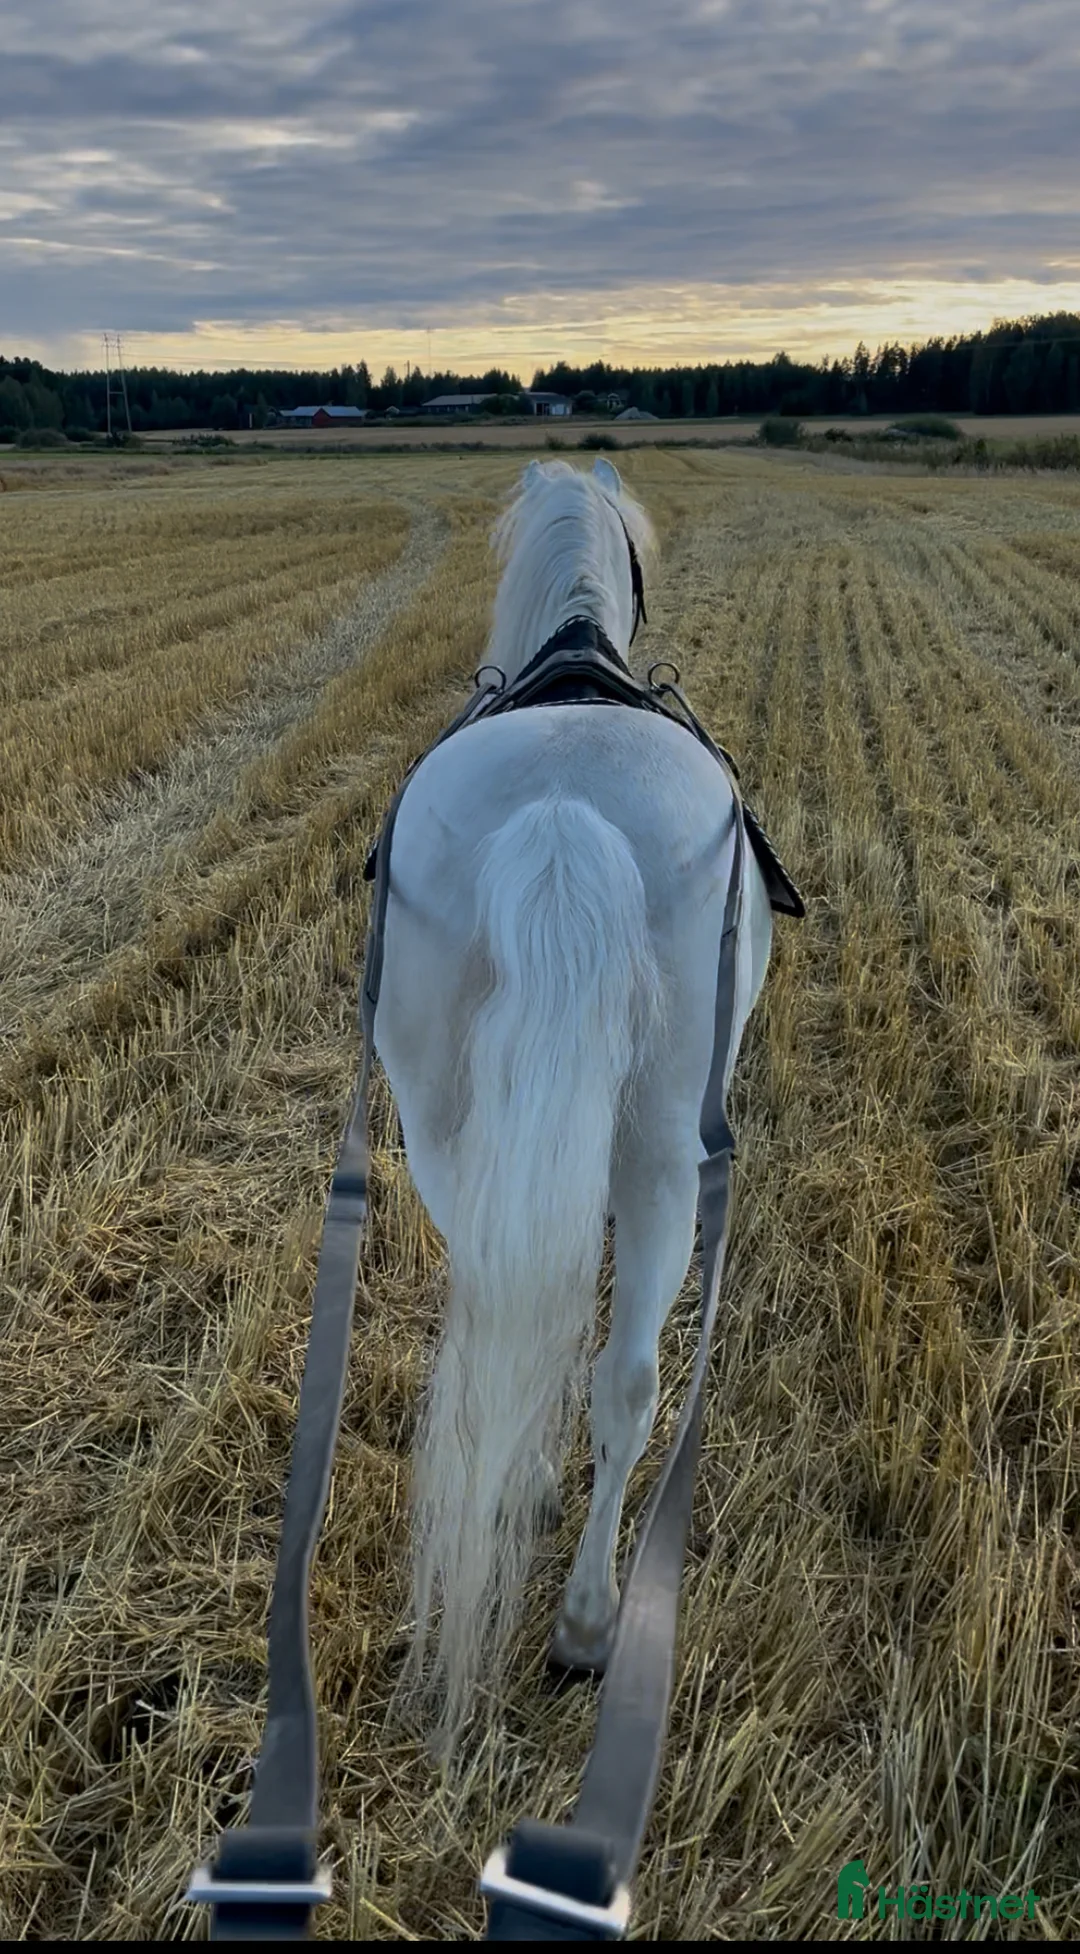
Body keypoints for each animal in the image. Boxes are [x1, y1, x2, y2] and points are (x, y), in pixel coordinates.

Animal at [374, 456, 774, 1750]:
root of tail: (561, 818)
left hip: (444, 1131)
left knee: (524, 1311)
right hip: (664, 1155)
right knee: (630, 1377)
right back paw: (592, 1624)